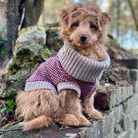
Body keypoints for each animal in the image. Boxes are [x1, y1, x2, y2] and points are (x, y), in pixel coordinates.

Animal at [15, 2, 110, 132]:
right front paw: (81, 119)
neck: (86, 53)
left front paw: (93, 112)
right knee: (54, 115)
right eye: (76, 24)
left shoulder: (92, 85)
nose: (83, 37)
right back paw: (70, 119)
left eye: (92, 25)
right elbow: (74, 106)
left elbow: (89, 101)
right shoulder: (69, 87)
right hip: (46, 93)